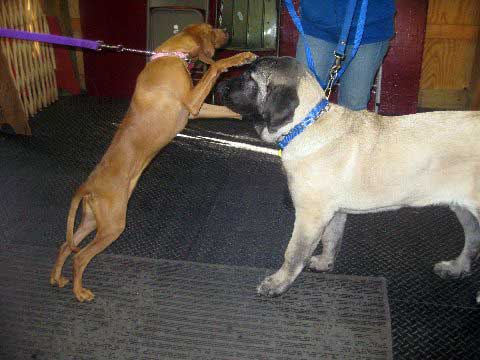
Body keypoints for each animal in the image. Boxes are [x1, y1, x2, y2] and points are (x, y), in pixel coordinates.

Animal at [50, 23, 256, 302]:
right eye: (213, 28)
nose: (227, 30)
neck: (171, 56)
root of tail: (87, 187)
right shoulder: (192, 102)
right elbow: (216, 66)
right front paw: (240, 58)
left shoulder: (195, 110)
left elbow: (229, 111)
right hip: (113, 226)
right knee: (80, 257)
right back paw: (80, 292)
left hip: (94, 221)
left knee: (65, 246)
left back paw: (57, 278)